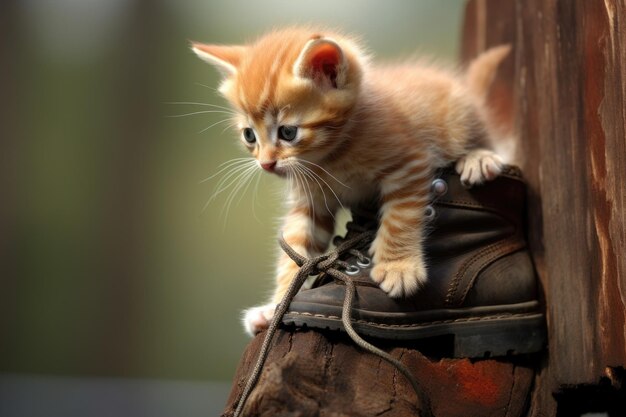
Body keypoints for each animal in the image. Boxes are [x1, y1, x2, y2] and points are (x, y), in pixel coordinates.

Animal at [191, 26, 508, 334]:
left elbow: (400, 218)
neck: (330, 158)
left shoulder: (409, 163)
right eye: (249, 135)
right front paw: (275, 306)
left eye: (288, 132)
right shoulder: (310, 201)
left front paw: (398, 268)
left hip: (460, 121)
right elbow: (296, 247)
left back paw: (479, 158)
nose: (266, 164)